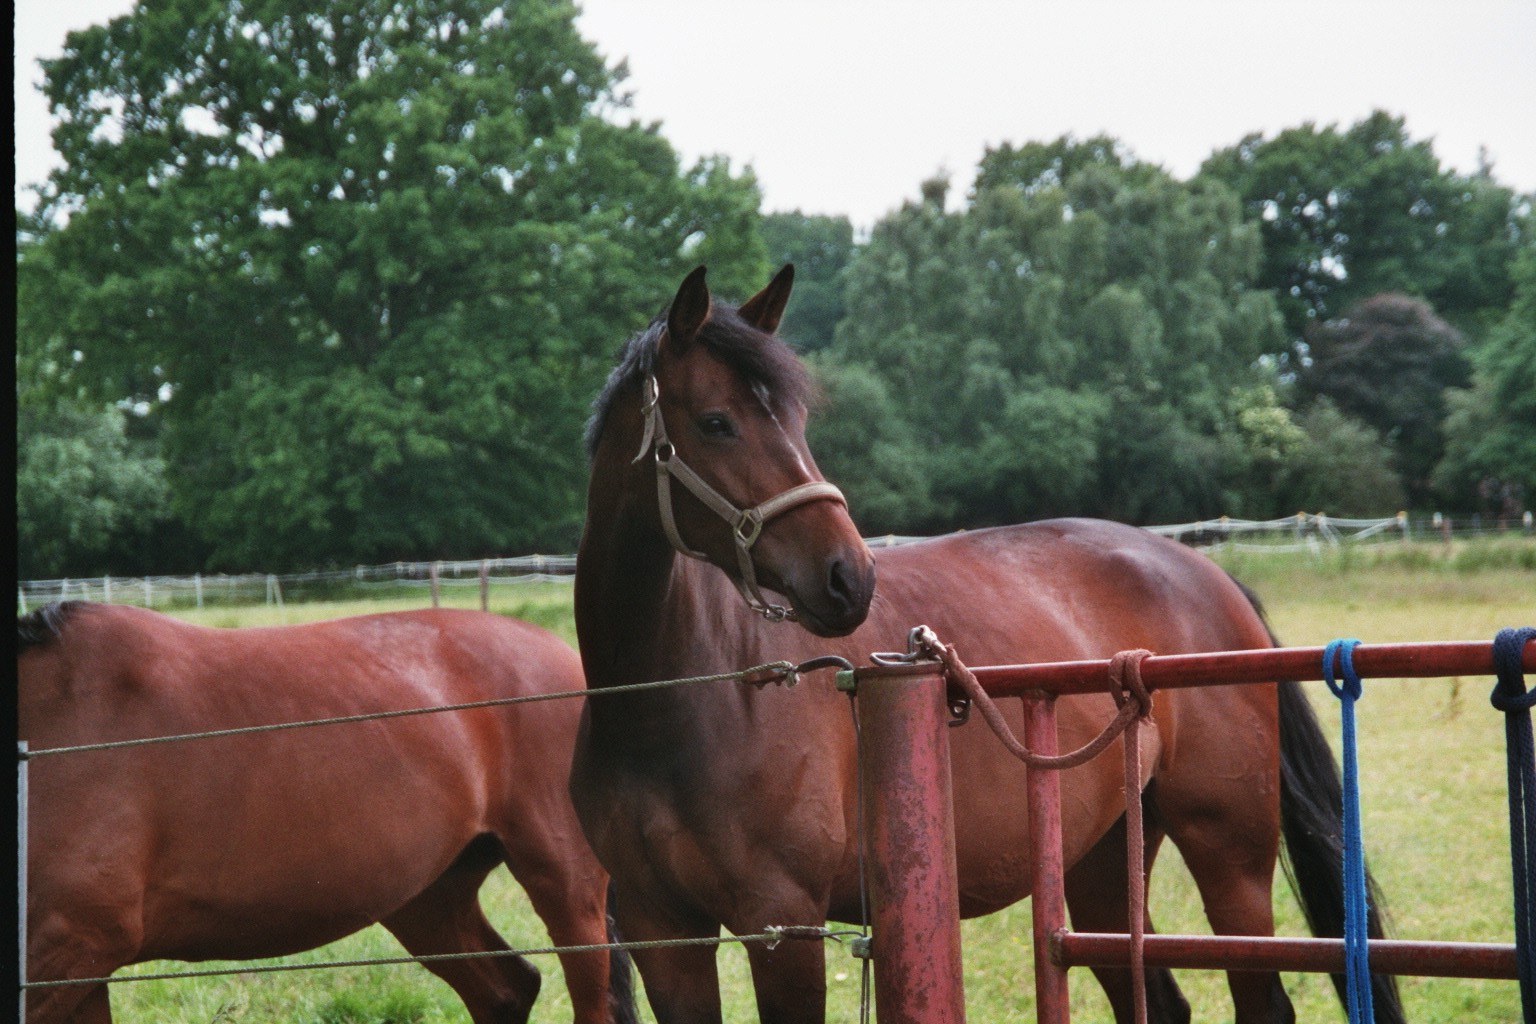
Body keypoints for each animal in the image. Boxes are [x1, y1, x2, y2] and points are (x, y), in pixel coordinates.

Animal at [568, 267, 1406, 1024]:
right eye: (715, 422)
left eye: (799, 423)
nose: (848, 577)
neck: (675, 702)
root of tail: (1207, 574)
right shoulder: (662, 934)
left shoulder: (784, 928)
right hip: (1101, 862)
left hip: (1230, 856)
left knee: (1262, 1000)